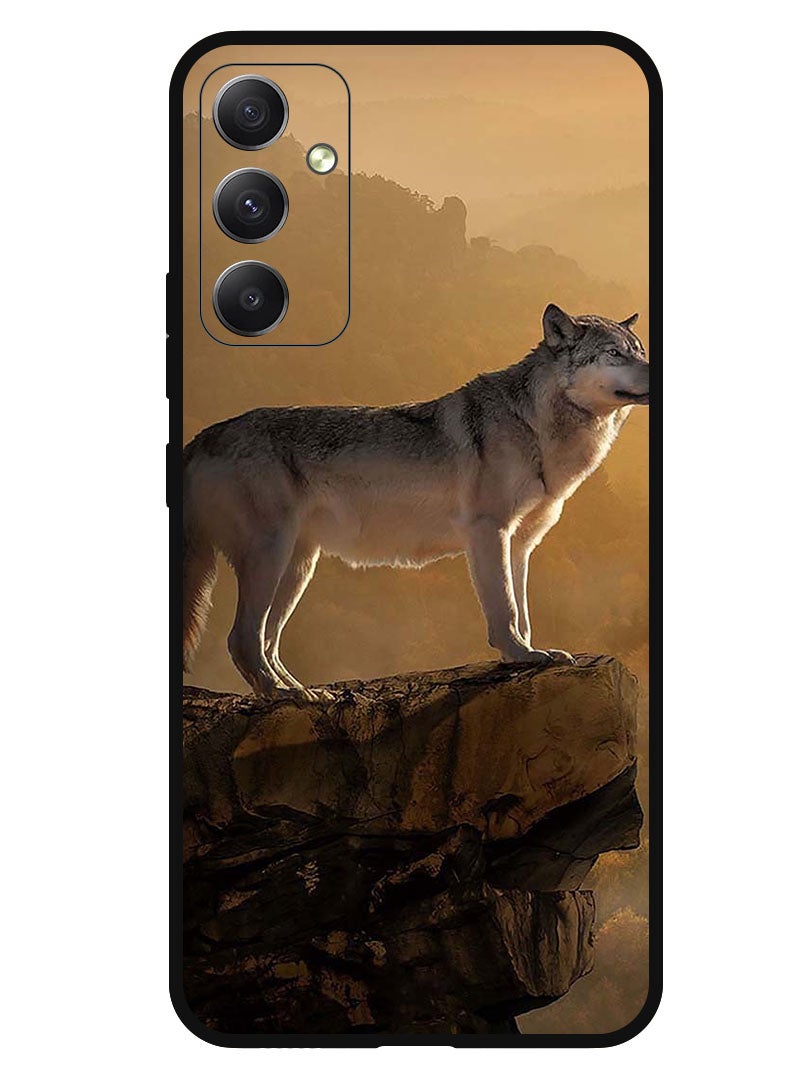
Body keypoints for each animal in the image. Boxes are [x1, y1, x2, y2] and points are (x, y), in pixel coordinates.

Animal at [183, 304, 649, 697]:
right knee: (242, 638)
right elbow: (505, 608)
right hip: (271, 557)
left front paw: (531, 655)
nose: (654, 369)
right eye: (614, 354)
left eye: (639, 352)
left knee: (267, 640)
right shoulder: (488, 531)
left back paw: (303, 692)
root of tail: (200, 438)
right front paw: (519, 655)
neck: (535, 424)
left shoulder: (520, 544)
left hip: (298, 567)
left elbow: (524, 612)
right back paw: (282, 694)